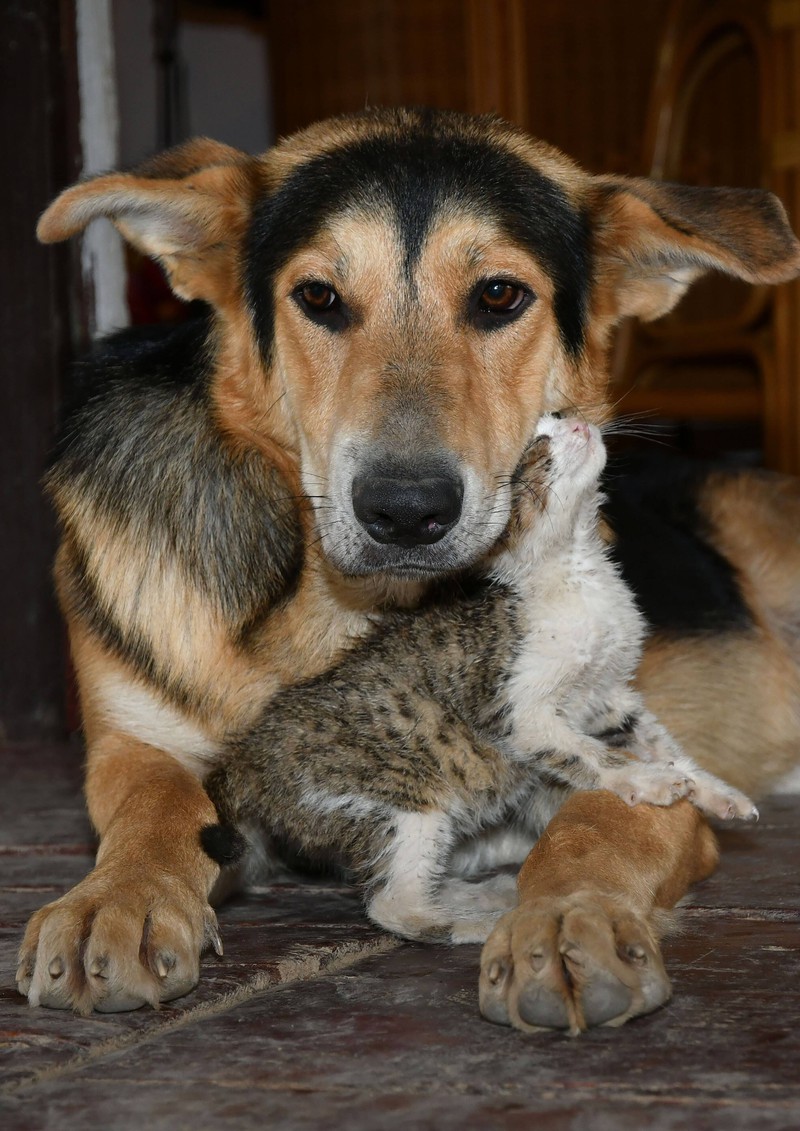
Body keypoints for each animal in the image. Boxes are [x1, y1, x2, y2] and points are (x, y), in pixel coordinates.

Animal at [203, 416, 755, 945]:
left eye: (557, 417)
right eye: (535, 448)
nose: (577, 424)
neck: (574, 568)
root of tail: (244, 759)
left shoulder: (608, 696)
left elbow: (662, 743)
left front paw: (713, 791)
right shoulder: (517, 709)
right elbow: (593, 755)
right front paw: (647, 780)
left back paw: (474, 893)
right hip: (402, 801)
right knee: (391, 905)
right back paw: (479, 925)